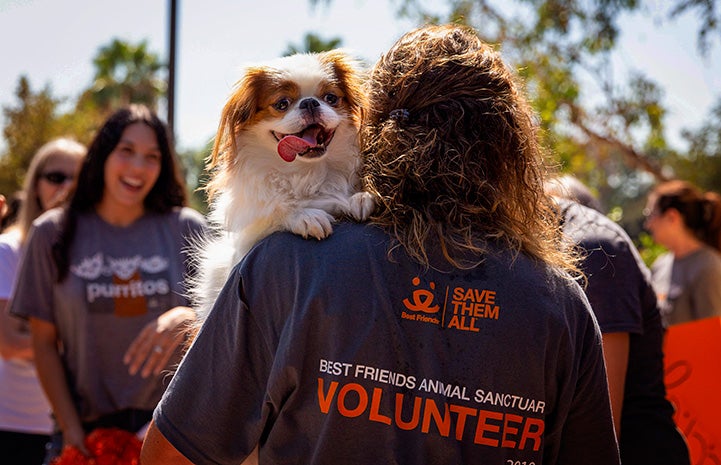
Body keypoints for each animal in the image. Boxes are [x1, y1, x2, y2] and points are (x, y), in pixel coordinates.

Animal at [188, 49, 374, 320]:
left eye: (331, 98)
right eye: (282, 104)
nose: (310, 103)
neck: (306, 172)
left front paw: (359, 198)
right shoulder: (244, 247)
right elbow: (275, 211)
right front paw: (305, 216)